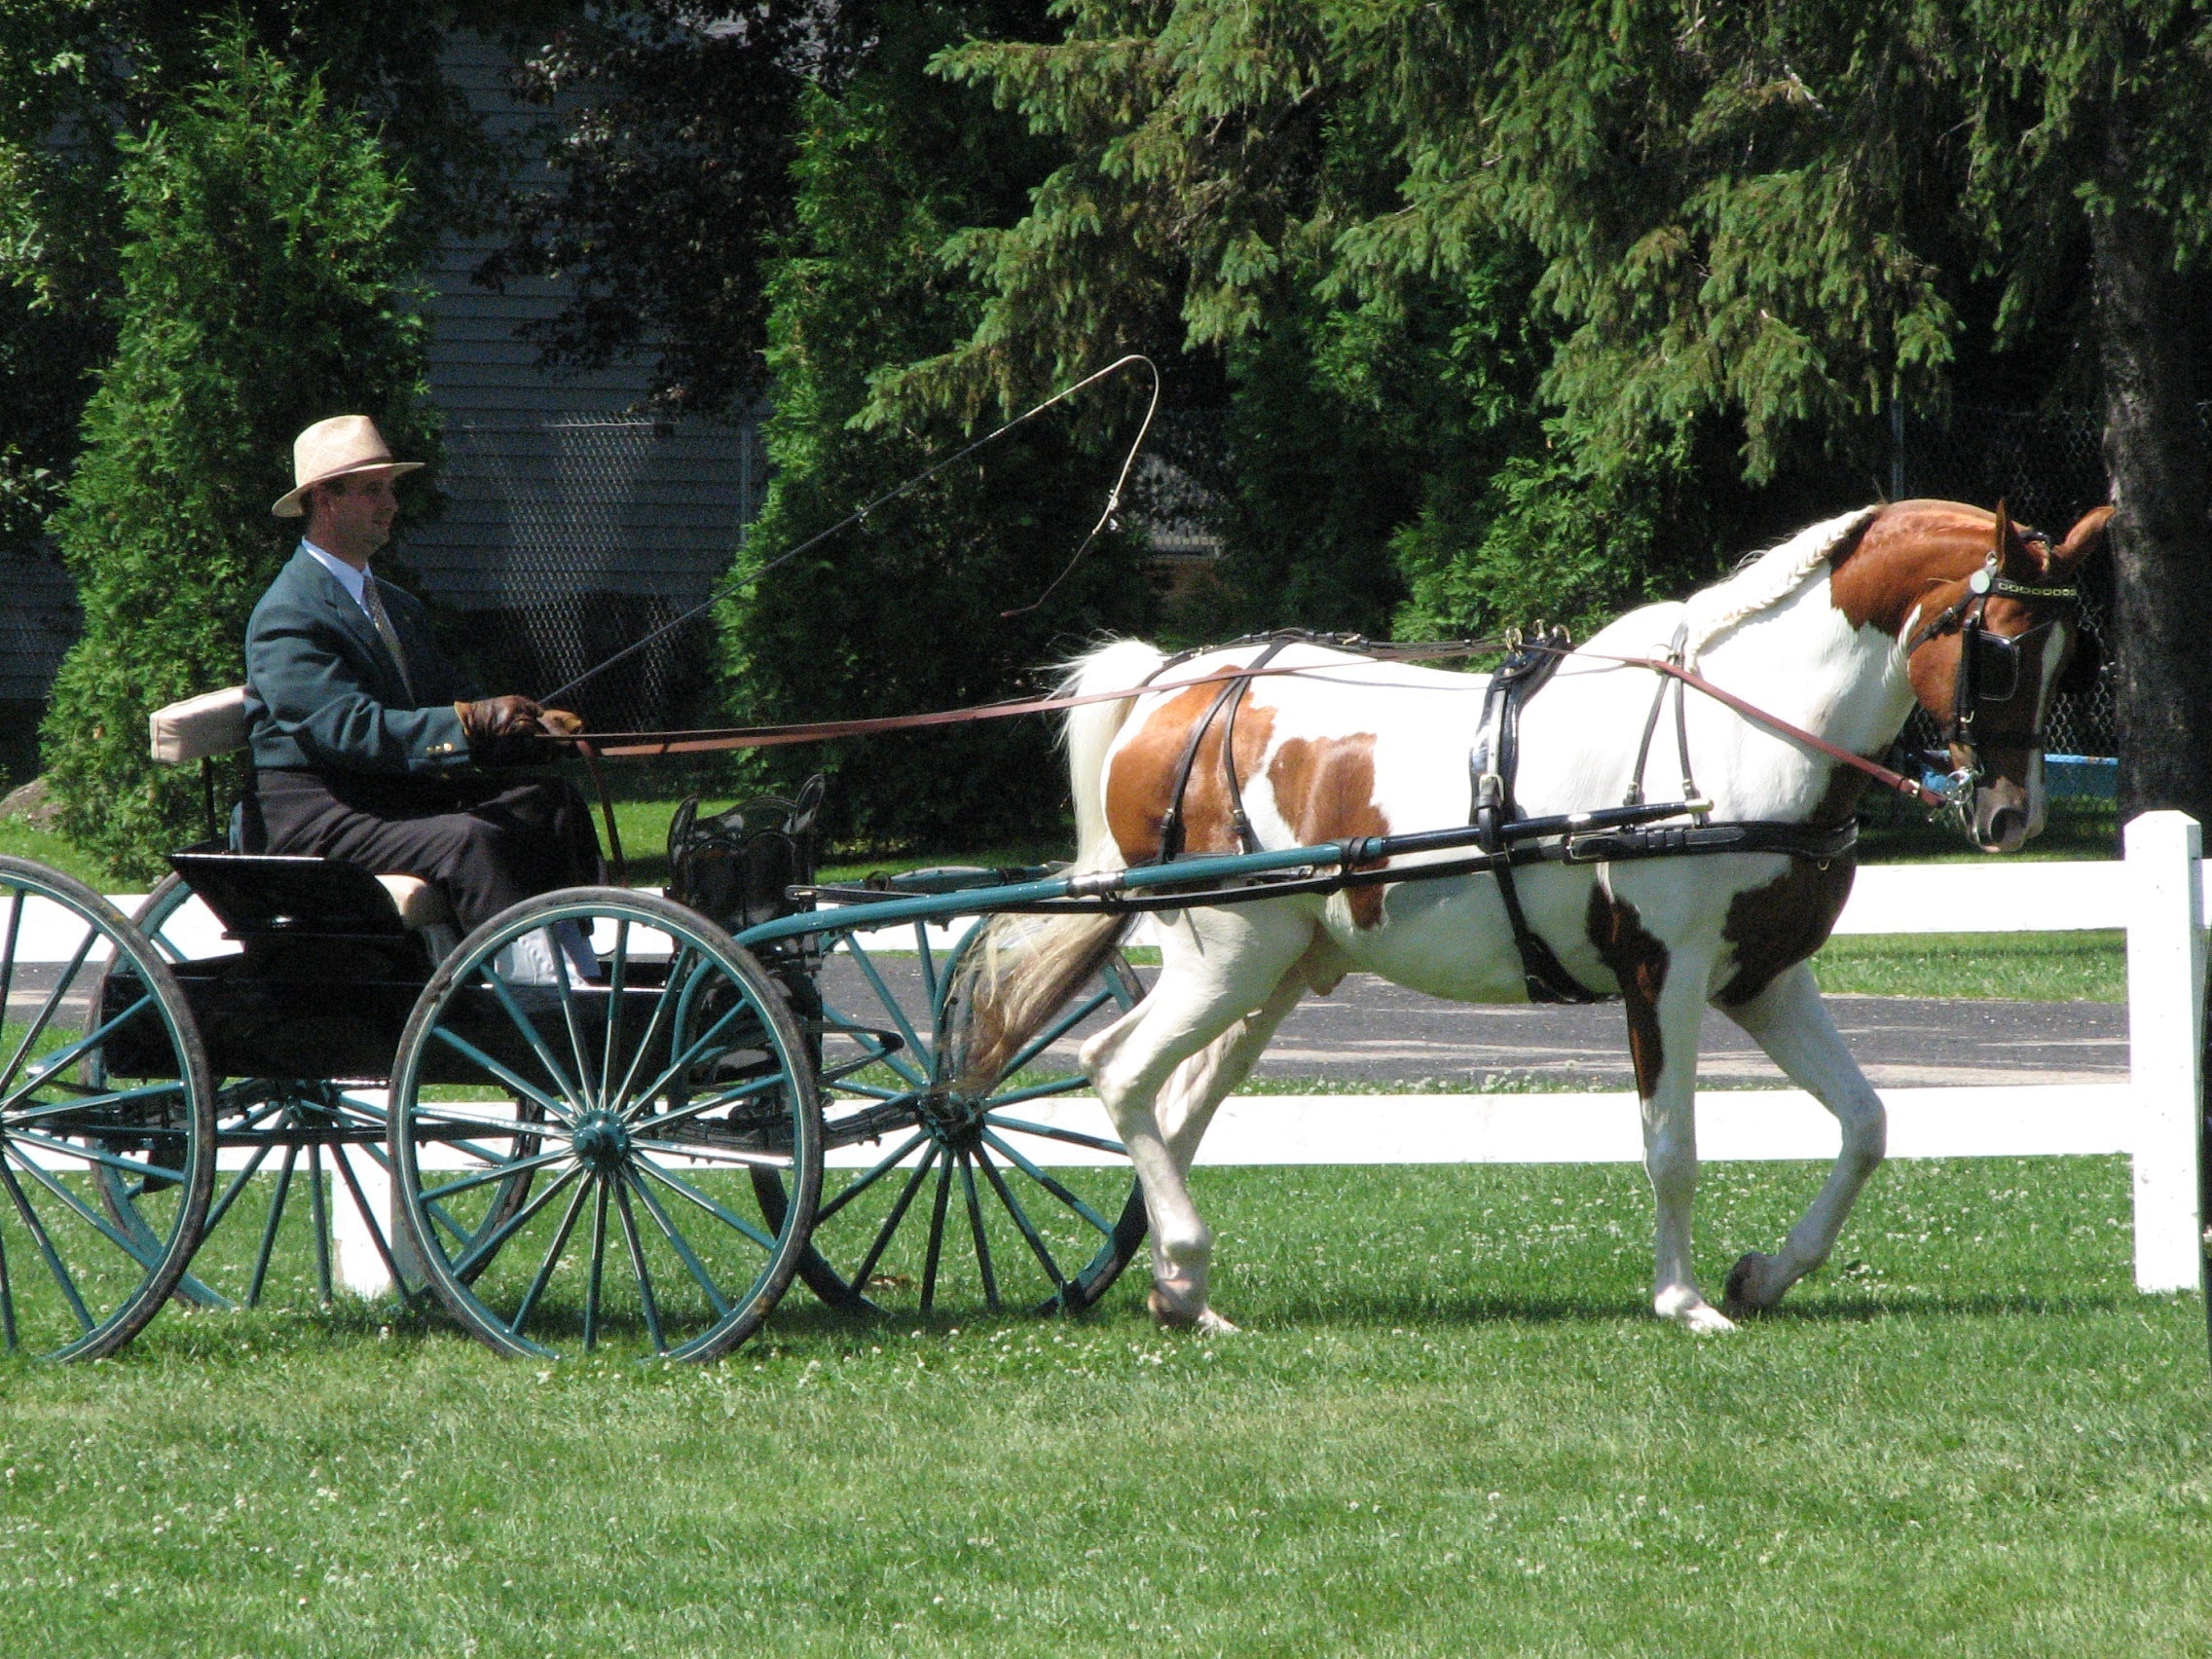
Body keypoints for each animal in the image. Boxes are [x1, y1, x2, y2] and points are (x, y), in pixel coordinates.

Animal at [956, 498, 2110, 1333]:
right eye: (2003, 649)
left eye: (2069, 657)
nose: (2010, 816)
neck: (1737, 739)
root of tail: (1179, 685)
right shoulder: (1663, 976)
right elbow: (1670, 1143)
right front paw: (1684, 1302)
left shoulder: (1764, 980)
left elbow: (1866, 1123)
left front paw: (1764, 1274)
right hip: (1222, 959)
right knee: (1119, 1073)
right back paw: (1183, 1268)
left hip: (1273, 973)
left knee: (1180, 1100)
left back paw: (1180, 1292)